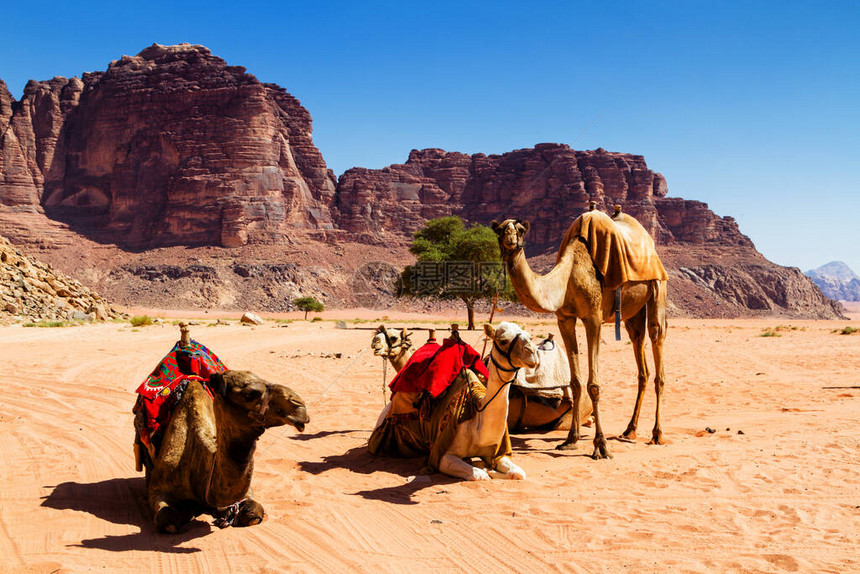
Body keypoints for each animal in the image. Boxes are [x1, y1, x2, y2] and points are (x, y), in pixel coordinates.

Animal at [494, 209, 668, 462]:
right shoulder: (565, 319)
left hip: (657, 288)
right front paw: (570, 440)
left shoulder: (593, 317)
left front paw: (601, 446)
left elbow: (593, 385)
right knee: (639, 353)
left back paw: (657, 434)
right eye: (499, 230)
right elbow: (575, 383)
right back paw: (630, 429)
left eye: (521, 230)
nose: (510, 240)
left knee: (657, 340)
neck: (566, 278)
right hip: (632, 312)